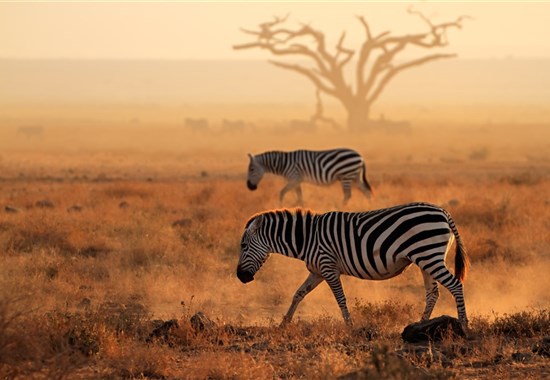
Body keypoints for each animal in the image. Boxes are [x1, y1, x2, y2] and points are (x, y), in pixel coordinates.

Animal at [236, 203, 470, 328]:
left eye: (244, 246)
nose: (240, 277)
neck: (307, 238)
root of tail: (443, 211)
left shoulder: (328, 267)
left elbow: (340, 298)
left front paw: (350, 326)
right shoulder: (317, 271)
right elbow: (298, 294)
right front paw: (284, 323)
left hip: (429, 255)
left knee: (455, 285)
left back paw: (463, 324)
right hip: (425, 259)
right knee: (432, 293)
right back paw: (420, 325)